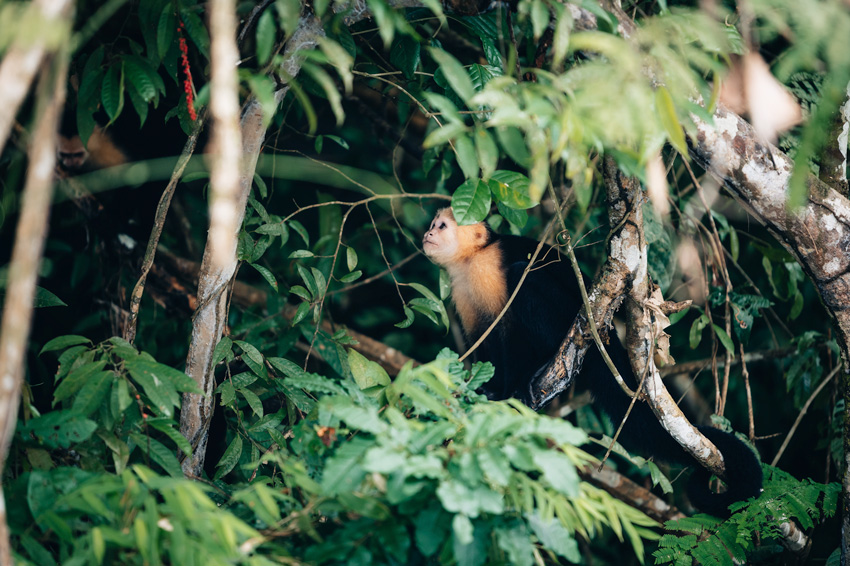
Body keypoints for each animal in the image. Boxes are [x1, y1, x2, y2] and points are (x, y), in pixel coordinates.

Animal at [422, 207, 763, 516]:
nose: (427, 234)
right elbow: (484, 341)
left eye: (441, 226)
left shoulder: (489, 269)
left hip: (580, 326)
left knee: (524, 276)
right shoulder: (461, 287)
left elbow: (508, 332)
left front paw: (510, 390)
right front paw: (486, 391)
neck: (471, 259)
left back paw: (542, 366)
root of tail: (608, 338)